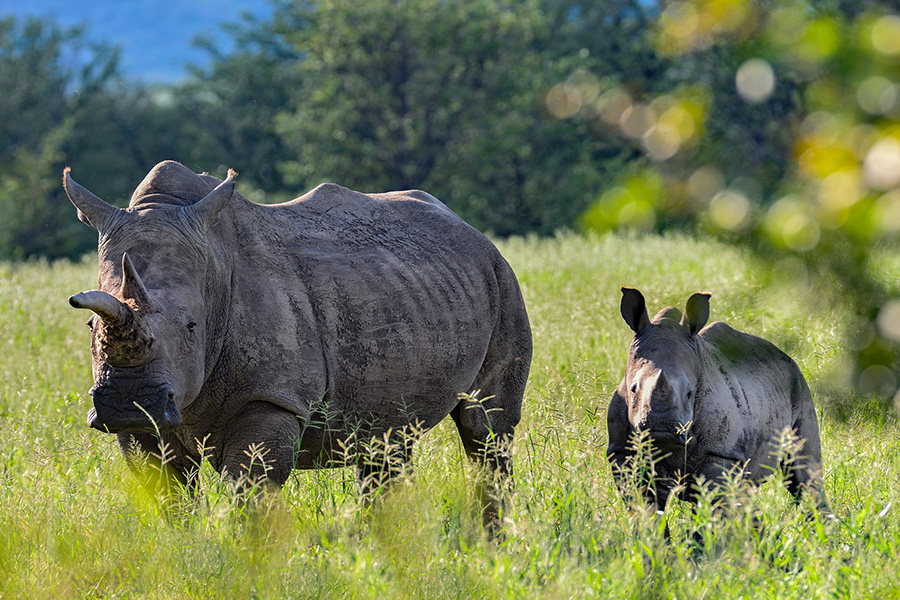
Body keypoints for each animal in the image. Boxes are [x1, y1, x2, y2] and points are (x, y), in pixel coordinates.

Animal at [608, 286, 828, 516]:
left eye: (690, 393)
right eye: (633, 389)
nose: (661, 428)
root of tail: (786, 356)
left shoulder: (720, 451)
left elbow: (714, 505)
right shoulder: (622, 453)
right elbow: (643, 506)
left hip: (799, 387)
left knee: (805, 475)